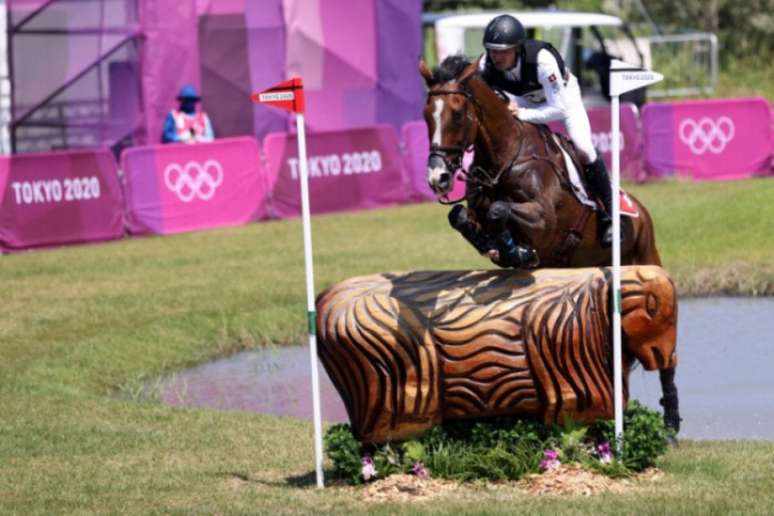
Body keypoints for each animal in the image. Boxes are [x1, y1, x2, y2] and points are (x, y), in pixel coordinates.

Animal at [418, 55, 680, 436]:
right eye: (426, 115)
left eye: (457, 114)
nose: (437, 177)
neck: (506, 158)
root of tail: (641, 212)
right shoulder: (477, 208)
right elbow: (461, 216)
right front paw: (500, 248)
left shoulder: (543, 221)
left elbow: (500, 211)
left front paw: (516, 250)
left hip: (646, 260)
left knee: (665, 353)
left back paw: (671, 424)